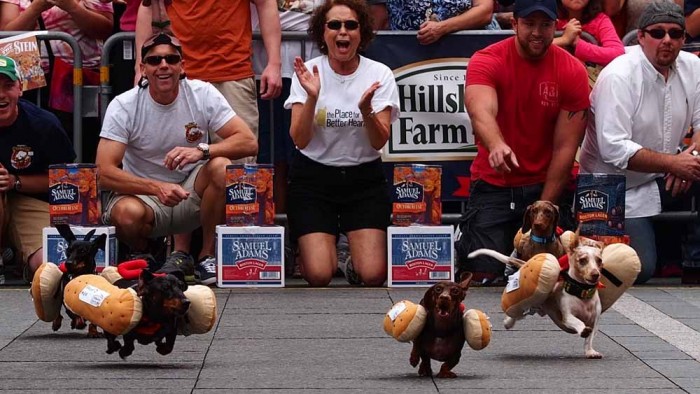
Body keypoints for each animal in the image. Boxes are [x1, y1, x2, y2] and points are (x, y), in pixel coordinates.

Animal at [468, 234, 604, 360]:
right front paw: (583, 329)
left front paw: (590, 351)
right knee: (515, 315)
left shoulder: (595, 321)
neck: (582, 293)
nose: (595, 274)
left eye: (599, 260)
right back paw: (508, 322)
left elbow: (589, 339)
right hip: (529, 306)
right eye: (582, 260)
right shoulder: (567, 317)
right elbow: (578, 322)